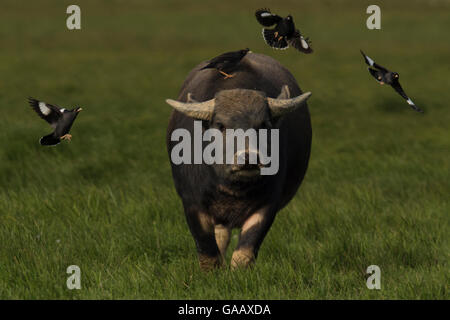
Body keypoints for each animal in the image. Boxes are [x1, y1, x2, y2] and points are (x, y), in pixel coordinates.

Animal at [166, 52, 312, 270]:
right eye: (220, 125)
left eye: (264, 125)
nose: (249, 158)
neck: (233, 189)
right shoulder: (192, 203)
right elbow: (208, 252)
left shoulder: (268, 204)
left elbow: (244, 252)